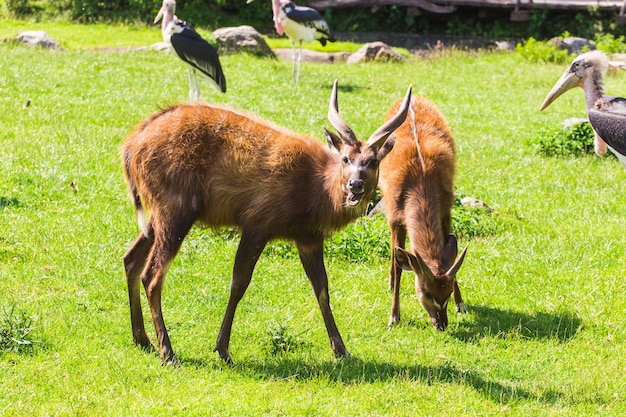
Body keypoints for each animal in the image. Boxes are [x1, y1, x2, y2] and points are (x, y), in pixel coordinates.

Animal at [120, 80, 414, 360]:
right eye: (345, 158)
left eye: (373, 161)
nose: (355, 185)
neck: (315, 190)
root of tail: (130, 147)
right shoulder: (257, 222)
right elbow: (239, 283)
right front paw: (222, 348)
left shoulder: (308, 237)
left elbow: (321, 287)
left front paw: (342, 350)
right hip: (175, 209)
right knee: (152, 275)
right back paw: (167, 352)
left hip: (158, 214)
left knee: (130, 259)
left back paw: (142, 339)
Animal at [376, 96, 468, 330]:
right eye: (426, 291)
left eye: (447, 291)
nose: (441, 324)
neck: (421, 178)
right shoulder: (396, 217)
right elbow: (399, 264)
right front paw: (393, 317)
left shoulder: (446, 210)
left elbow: (451, 254)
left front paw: (461, 305)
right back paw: (390, 283)